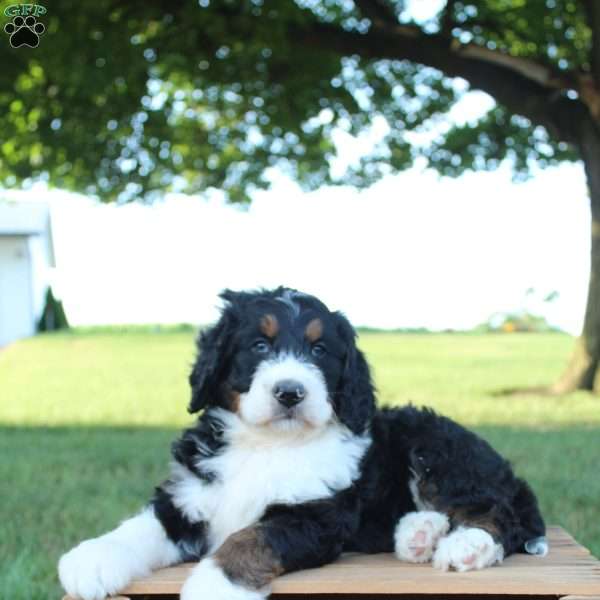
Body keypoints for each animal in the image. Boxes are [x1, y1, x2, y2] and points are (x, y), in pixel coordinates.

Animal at [57, 288, 548, 596]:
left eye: (318, 351)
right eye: (259, 345)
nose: (290, 392)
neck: (267, 445)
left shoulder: (314, 517)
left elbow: (249, 539)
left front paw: (214, 585)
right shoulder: (188, 496)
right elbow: (142, 525)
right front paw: (93, 558)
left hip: (436, 449)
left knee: (499, 514)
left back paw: (466, 546)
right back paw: (419, 533)